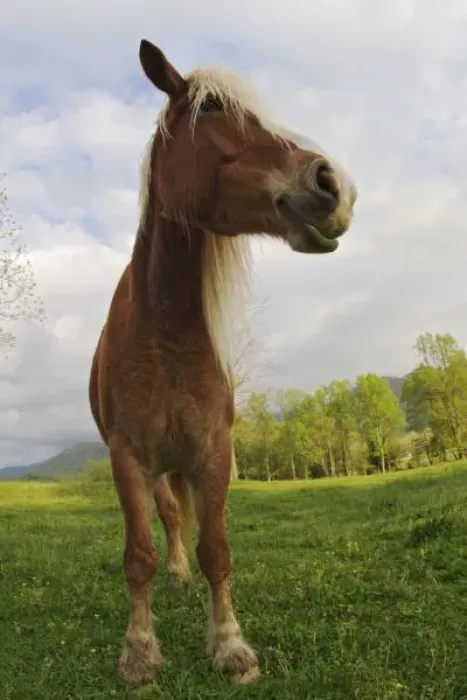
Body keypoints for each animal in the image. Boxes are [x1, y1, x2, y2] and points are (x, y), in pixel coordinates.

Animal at [88, 38, 357, 689]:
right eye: (211, 110)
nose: (333, 184)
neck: (167, 332)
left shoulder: (213, 452)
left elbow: (216, 550)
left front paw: (231, 646)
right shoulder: (128, 458)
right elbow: (139, 556)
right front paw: (139, 653)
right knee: (166, 519)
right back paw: (174, 576)